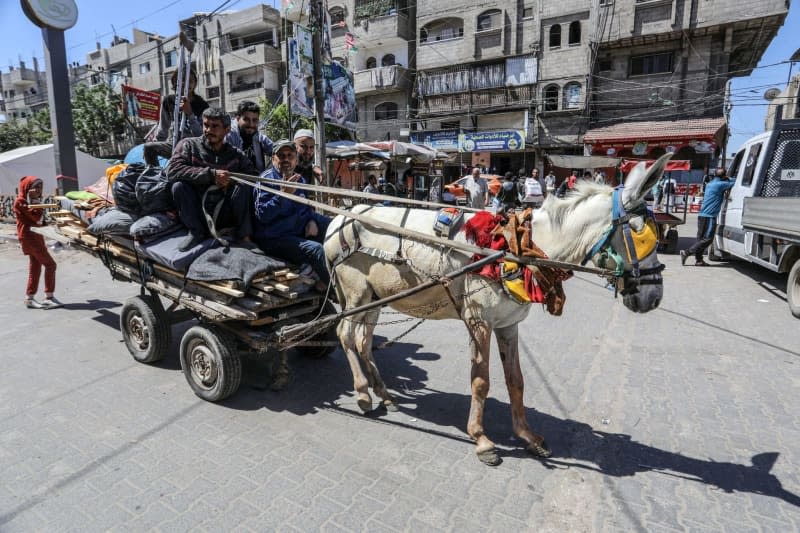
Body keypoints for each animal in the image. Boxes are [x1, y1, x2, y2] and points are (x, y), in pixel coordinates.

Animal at [324, 155, 668, 466]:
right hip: (355, 295)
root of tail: (340, 219)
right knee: (345, 334)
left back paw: (384, 394)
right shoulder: (479, 321)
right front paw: (481, 438)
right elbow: (481, 381)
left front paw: (527, 436)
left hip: (375, 297)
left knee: (363, 341)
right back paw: (363, 393)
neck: (518, 249)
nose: (654, 297)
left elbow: (516, 380)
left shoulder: (507, 324)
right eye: (642, 235)